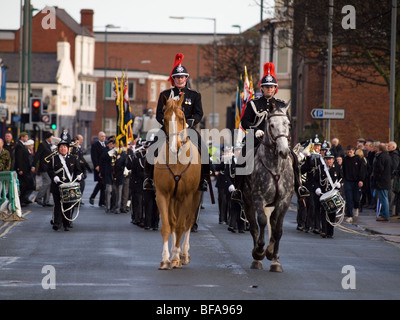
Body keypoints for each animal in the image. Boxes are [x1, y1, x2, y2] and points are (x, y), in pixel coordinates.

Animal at [154, 93, 202, 270]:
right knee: (174, 222)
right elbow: (167, 226)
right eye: (165, 118)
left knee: (188, 223)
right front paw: (165, 259)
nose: (175, 146)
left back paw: (183, 254)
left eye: (182, 118)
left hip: (195, 197)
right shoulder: (162, 195)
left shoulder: (187, 196)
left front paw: (175, 258)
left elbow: (182, 226)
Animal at [241, 105, 294, 272]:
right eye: (271, 125)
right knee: (254, 226)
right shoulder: (258, 198)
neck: (275, 166)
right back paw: (256, 258)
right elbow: (262, 221)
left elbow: (277, 229)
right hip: (248, 202)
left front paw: (274, 258)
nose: (283, 151)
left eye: (287, 124)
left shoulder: (284, 201)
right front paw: (259, 251)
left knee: (273, 223)